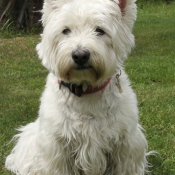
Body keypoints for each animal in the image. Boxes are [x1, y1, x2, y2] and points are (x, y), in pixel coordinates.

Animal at [5, 0, 150, 175]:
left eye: (100, 31)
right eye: (65, 30)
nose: (80, 55)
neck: (85, 90)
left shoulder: (125, 143)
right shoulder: (57, 146)